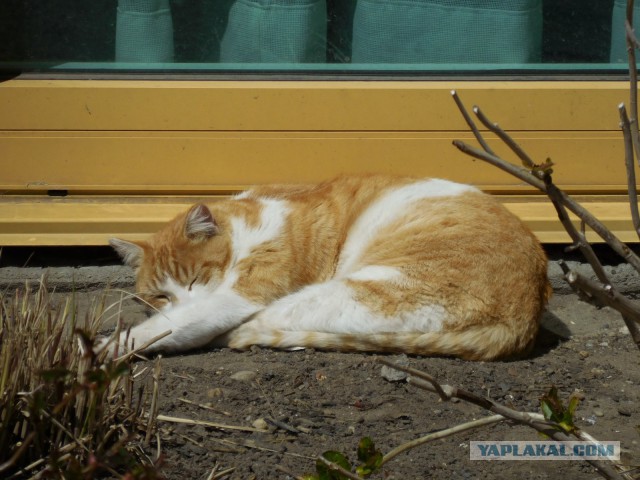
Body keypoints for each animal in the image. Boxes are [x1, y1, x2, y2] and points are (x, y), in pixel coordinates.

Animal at [106, 173, 552, 360]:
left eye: (196, 278)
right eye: (160, 294)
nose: (180, 300)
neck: (245, 223)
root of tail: (523, 320)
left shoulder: (242, 293)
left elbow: (170, 325)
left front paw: (105, 349)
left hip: (346, 294)